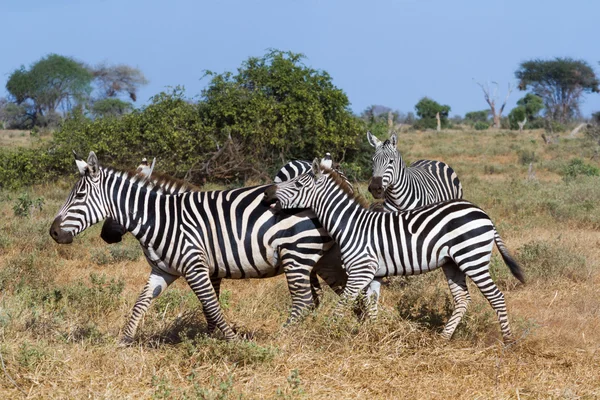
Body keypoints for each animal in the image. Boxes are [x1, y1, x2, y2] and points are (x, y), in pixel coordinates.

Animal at [51, 152, 346, 344]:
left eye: (79, 196)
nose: (53, 232)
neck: (161, 218)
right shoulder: (164, 270)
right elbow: (141, 303)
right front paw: (124, 342)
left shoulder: (197, 266)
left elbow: (211, 306)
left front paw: (231, 341)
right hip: (325, 257)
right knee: (342, 290)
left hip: (297, 253)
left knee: (304, 300)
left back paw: (285, 337)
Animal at [264, 161, 524, 342]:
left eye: (298, 184)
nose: (267, 193)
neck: (351, 225)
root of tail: (483, 214)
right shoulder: (374, 274)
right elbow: (371, 307)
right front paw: (374, 335)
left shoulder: (360, 271)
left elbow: (343, 306)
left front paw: (328, 334)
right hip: (452, 263)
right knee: (462, 300)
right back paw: (443, 338)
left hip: (473, 259)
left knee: (496, 297)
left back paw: (508, 341)